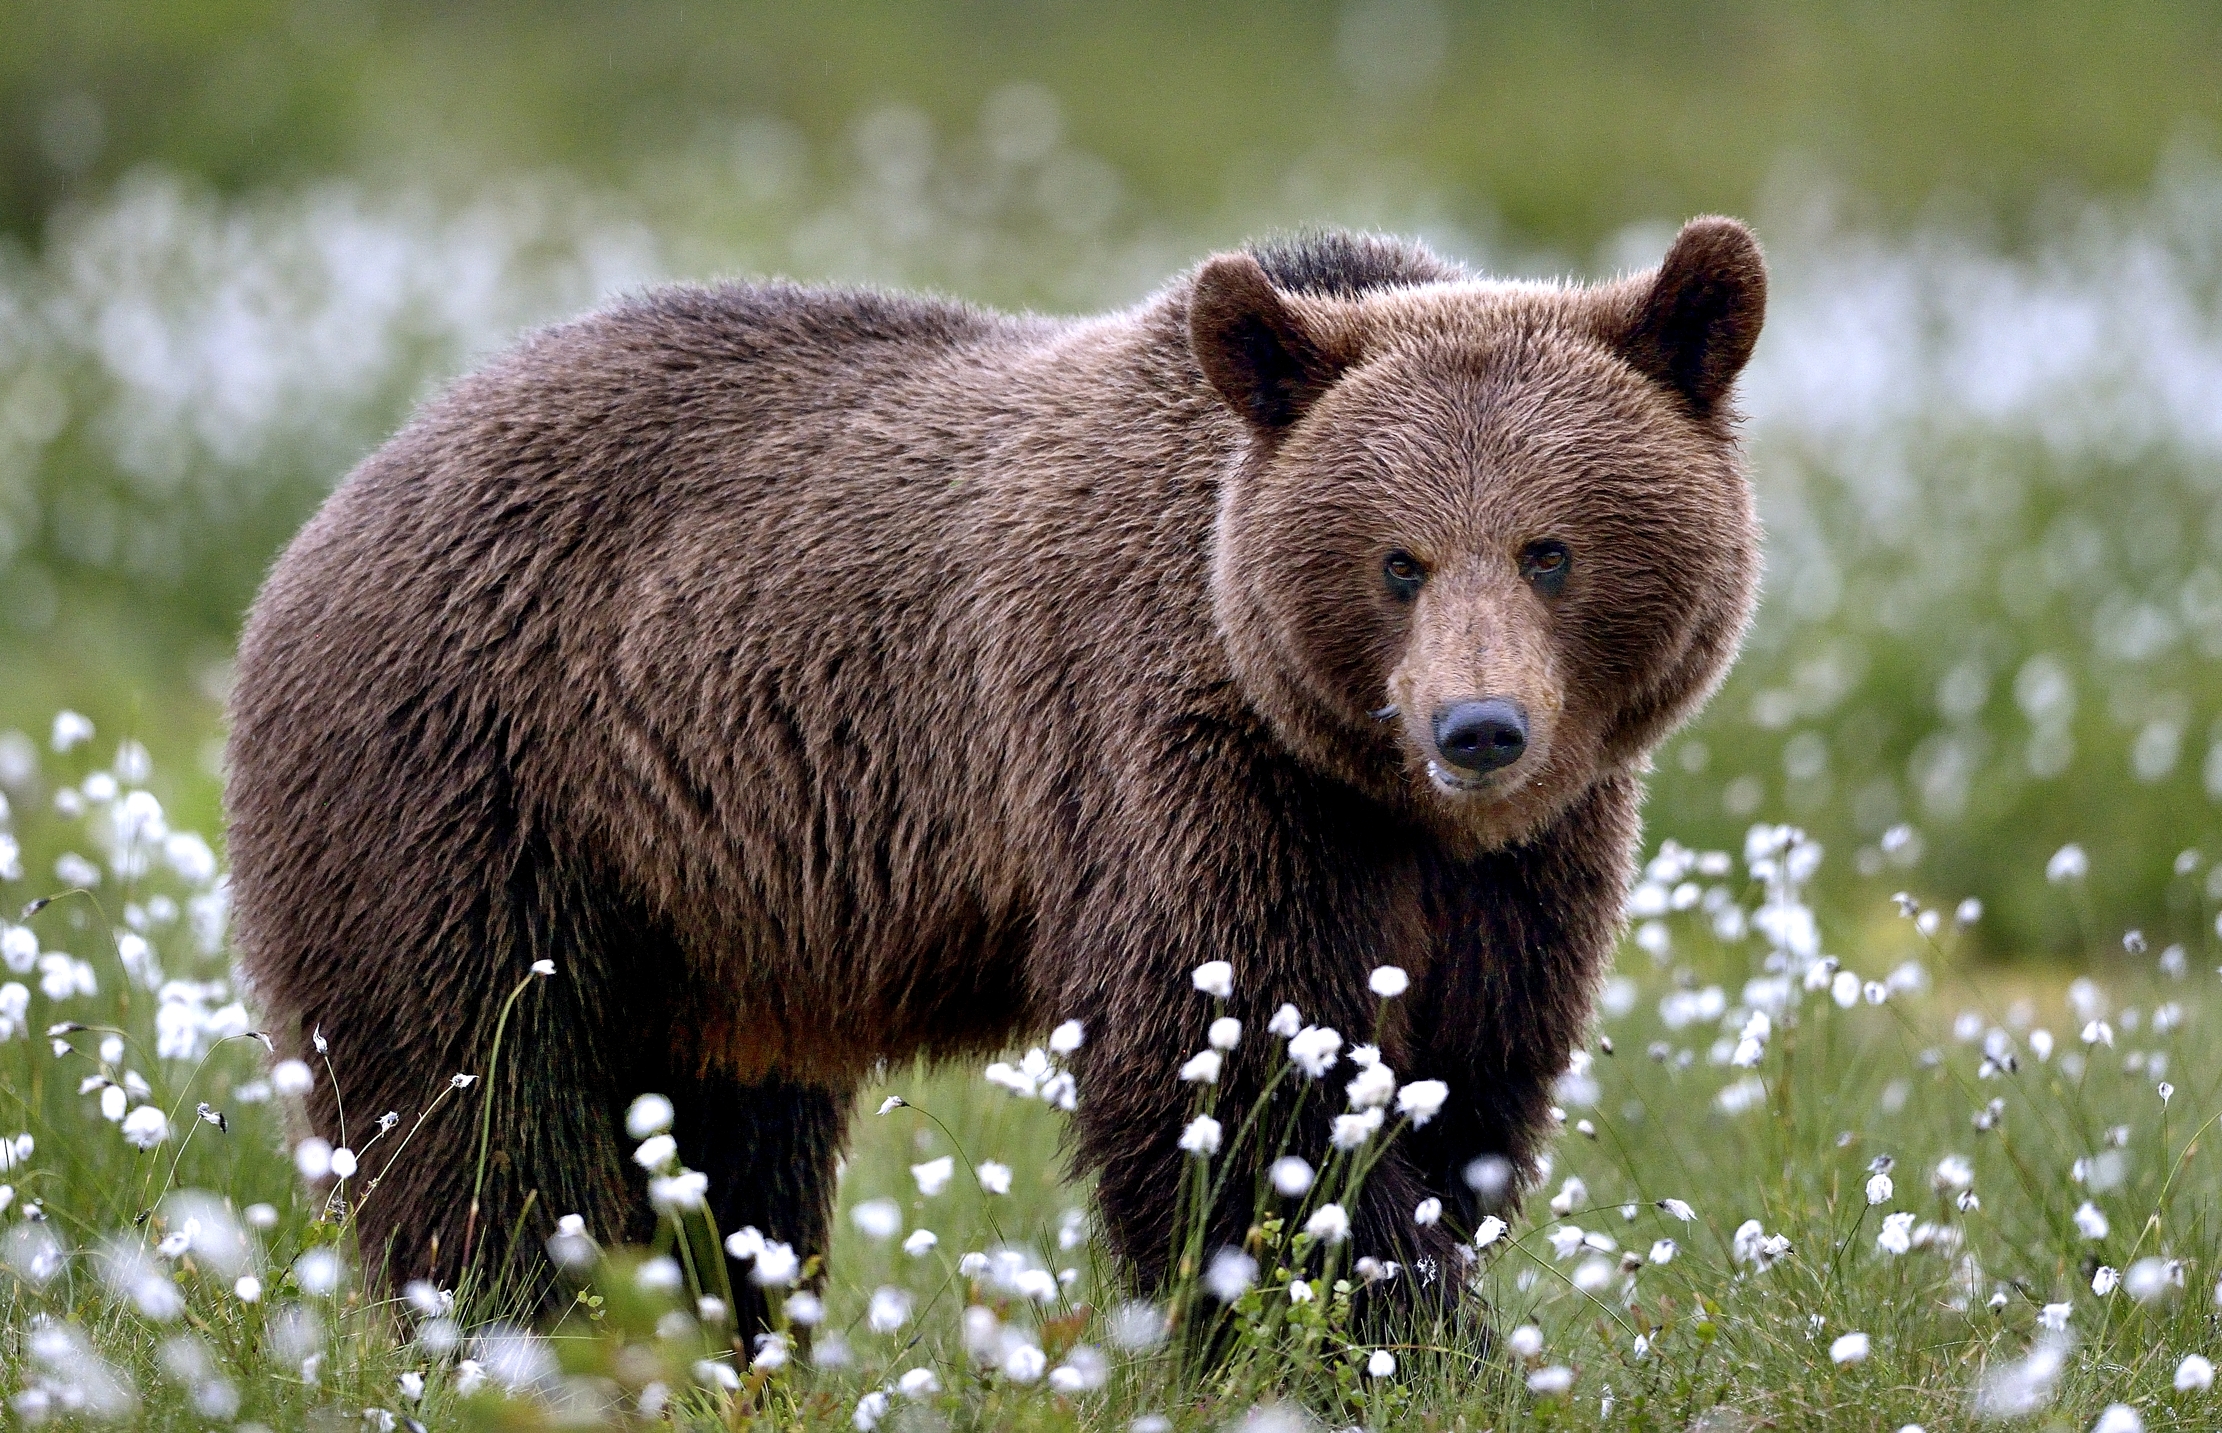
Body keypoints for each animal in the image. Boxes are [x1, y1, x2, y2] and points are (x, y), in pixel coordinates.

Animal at [225, 217, 1764, 1330]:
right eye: (1399, 560)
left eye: (1550, 548)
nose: (1478, 729)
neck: (1368, 791)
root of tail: (342, 493)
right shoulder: (1173, 755)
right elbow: (1230, 1063)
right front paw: (1372, 1329)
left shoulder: (1512, 869)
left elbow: (1468, 1073)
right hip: (475, 780)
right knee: (479, 1092)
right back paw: (522, 1329)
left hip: (709, 913)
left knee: (728, 1139)